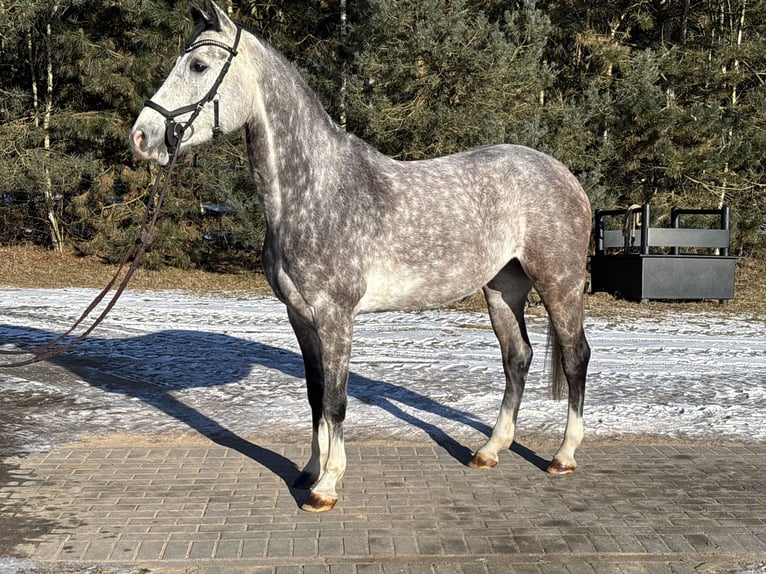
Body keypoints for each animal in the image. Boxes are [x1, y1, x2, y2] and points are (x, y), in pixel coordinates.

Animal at [130, 0, 591, 513]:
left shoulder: (336, 316)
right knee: (518, 357)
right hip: (503, 288)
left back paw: (564, 456)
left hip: (559, 285)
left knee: (576, 358)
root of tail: (565, 175)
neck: (315, 191)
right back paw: (489, 450)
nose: (142, 137)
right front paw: (309, 470)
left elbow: (337, 401)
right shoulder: (301, 316)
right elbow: (315, 396)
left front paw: (327, 485)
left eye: (198, 66)